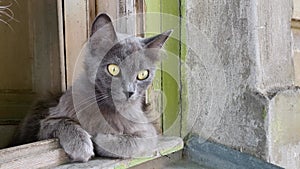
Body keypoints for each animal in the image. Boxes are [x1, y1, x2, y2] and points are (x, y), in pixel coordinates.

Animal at [10, 13, 172, 162]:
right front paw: (81, 145)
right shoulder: (46, 124)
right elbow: (65, 122)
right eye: (113, 69)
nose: (129, 92)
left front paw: (100, 139)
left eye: (143, 74)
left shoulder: (148, 132)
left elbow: (131, 144)